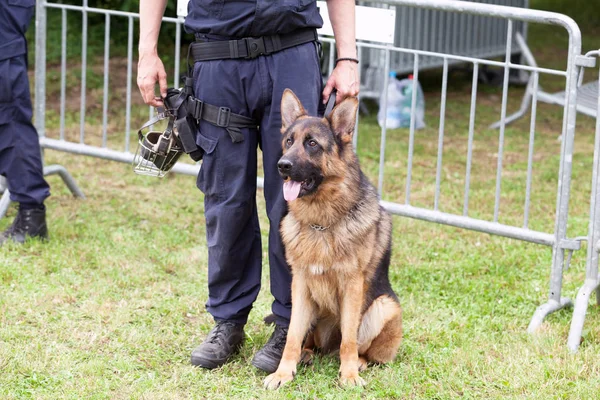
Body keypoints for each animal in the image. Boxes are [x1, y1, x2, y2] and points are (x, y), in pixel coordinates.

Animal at [264, 89, 400, 390]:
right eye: (288, 141)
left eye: (312, 143)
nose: (282, 166)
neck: (322, 224)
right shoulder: (300, 286)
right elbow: (292, 336)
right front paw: (282, 373)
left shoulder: (352, 287)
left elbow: (349, 339)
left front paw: (348, 375)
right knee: (309, 341)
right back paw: (307, 353)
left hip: (383, 307)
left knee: (361, 348)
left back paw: (359, 362)